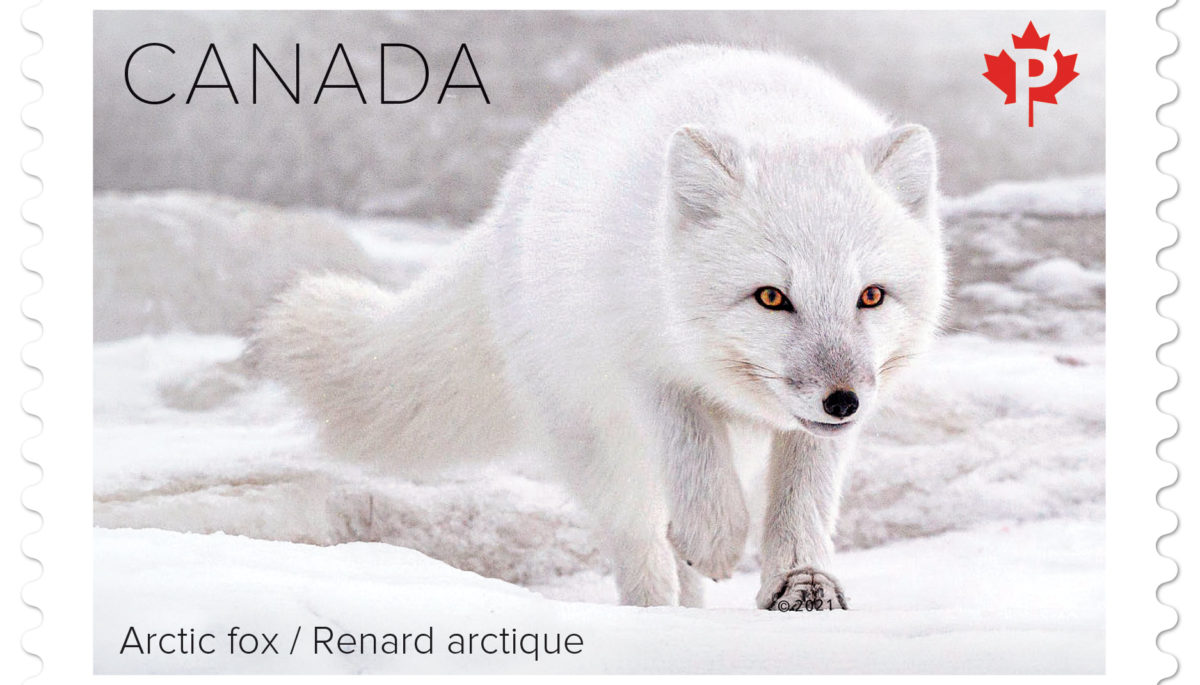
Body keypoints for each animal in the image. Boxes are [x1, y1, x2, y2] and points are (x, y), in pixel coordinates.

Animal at [251, 44, 947, 609]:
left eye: (871, 296)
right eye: (772, 297)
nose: (843, 401)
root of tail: (510, 198)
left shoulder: (807, 427)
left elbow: (803, 498)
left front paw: (802, 584)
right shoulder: (644, 361)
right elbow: (693, 458)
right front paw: (716, 539)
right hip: (596, 437)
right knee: (640, 535)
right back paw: (657, 611)